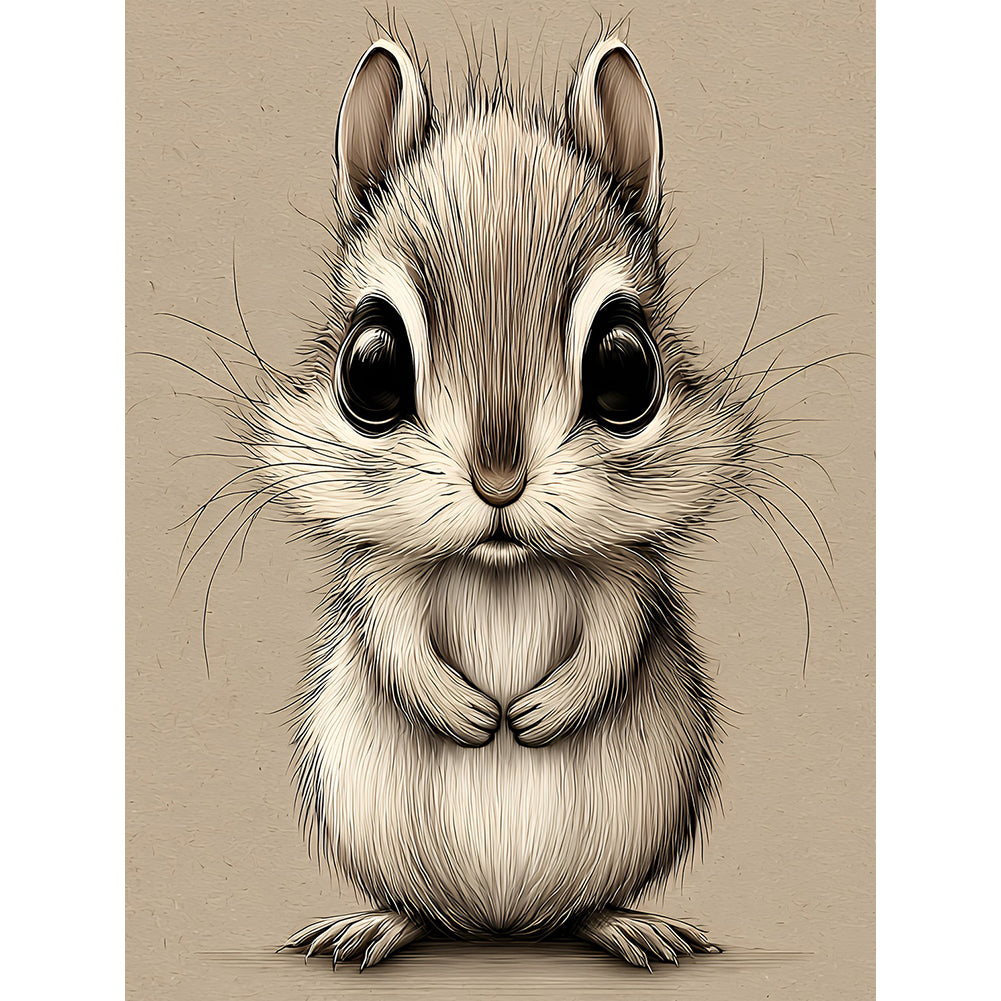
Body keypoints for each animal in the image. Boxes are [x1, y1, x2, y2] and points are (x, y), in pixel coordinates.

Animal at [224, 29, 770, 970]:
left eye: (626, 365)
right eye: (369, 366)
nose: (498, 482)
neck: (501, 568)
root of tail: (502, 923)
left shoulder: (629, 573)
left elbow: (618, 633)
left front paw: (542, 713)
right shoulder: (382, 574)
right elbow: (394, 635)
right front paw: (471, 713)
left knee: (578, 908)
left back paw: (629, 924)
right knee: (423, 906)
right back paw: (373, 924)